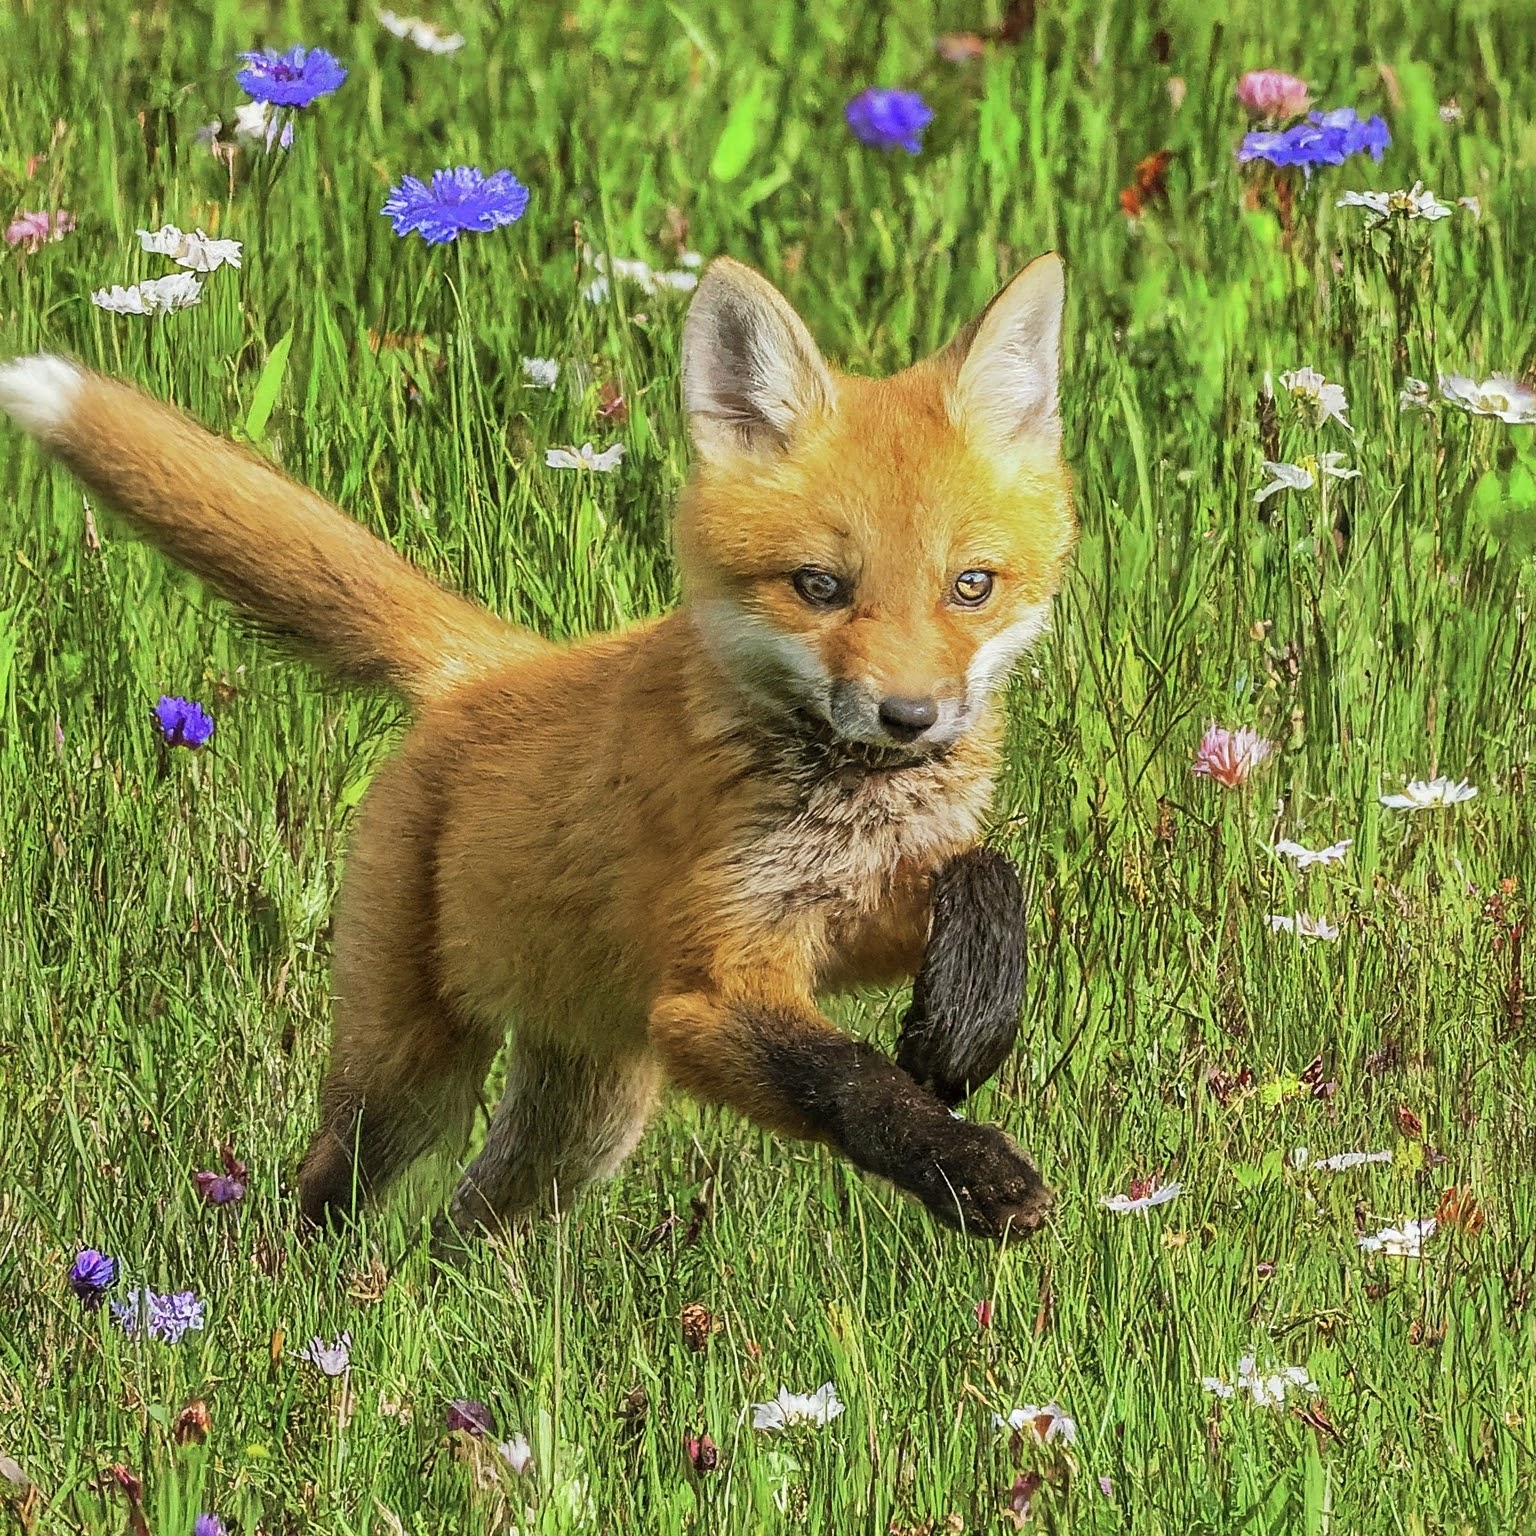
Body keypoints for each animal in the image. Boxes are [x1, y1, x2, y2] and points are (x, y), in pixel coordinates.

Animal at [0, 248, 1075, 1234]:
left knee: (464, 1222)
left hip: (583, 1121)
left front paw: (966, 1022)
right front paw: (972, 1171)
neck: (845, 805)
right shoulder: (706, 990)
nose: (911, 718)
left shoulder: (854, 923)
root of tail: (490, 669)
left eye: (971, 586)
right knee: (327, 1190)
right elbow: (849, 1079)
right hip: (410, 1077)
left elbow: (989, 875)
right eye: (820, 587)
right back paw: (314, 1292)